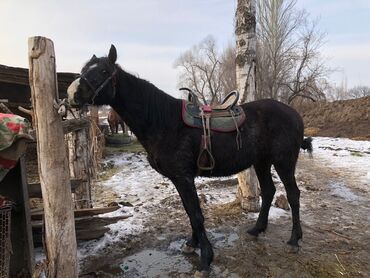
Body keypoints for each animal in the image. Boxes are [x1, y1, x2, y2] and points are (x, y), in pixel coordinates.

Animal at [67, 45, 312, 274]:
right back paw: (256, 229)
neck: (164, 122)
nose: (71, 94)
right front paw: (192, 244)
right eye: (84, 70)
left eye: (103, 71)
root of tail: (295, 114)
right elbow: (189, 211)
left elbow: (196, 214)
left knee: (293, 195)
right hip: (261, 162)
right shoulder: (179, 179)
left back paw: (294, 240)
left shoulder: (183, 177)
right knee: (269, 191)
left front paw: (205, 259)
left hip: (284, 162)